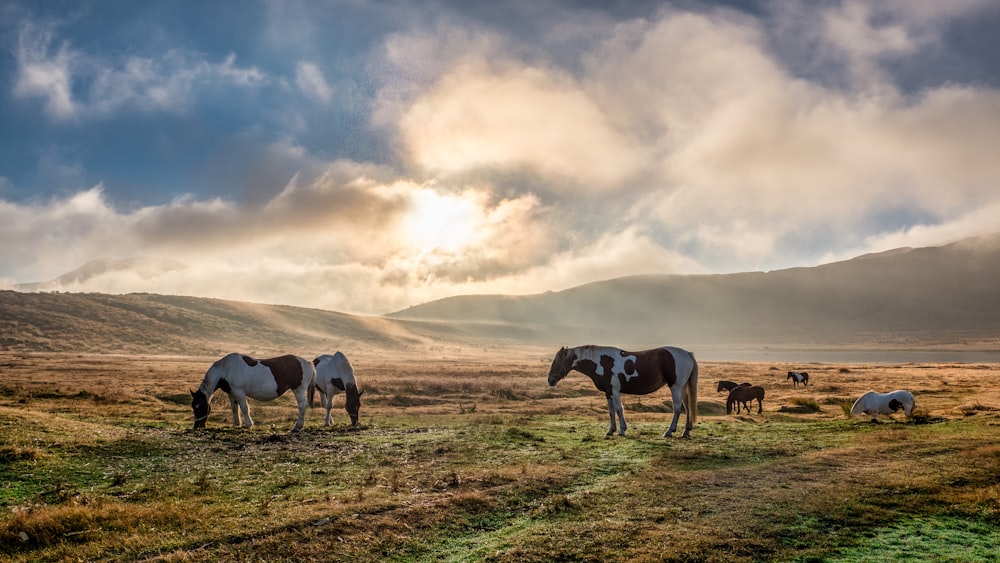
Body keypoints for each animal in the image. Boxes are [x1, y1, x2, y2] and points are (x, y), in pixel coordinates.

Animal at [552, 344, 700, 440]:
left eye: (556, 362)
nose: (550, 380)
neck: (602, 362)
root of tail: (687, 354)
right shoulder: (608, 392)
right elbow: (611, 411)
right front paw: (610, 431)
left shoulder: (615, 390)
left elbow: (619, 409)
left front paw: (622, 430)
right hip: (682, 387)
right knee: (687, 407)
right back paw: (686, 431)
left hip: (676, 386)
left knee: (677, 408)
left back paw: (669, 432)